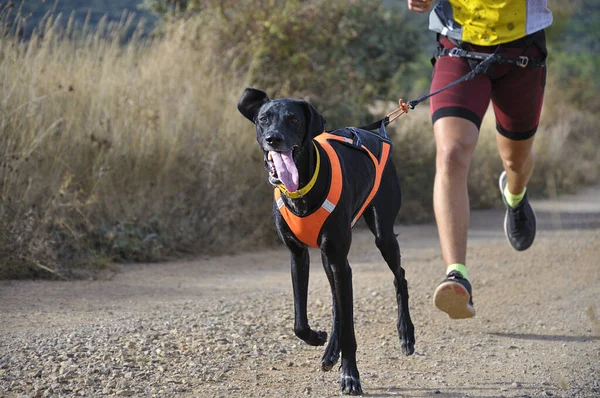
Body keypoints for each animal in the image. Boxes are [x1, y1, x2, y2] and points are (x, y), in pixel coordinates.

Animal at [237, 88, 414, 394]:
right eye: (263, 119)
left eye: (294, 119)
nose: (274, 139)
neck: (301, 190)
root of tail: (377, 133)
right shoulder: (299, 255)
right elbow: (300, 322)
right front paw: (318, 338)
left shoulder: (339, 259)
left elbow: (349, 329)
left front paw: (351, 376)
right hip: (327, 257)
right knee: (336, 302)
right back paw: (331, 351)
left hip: (382, 235)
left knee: (399, 275)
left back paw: (406, 334)